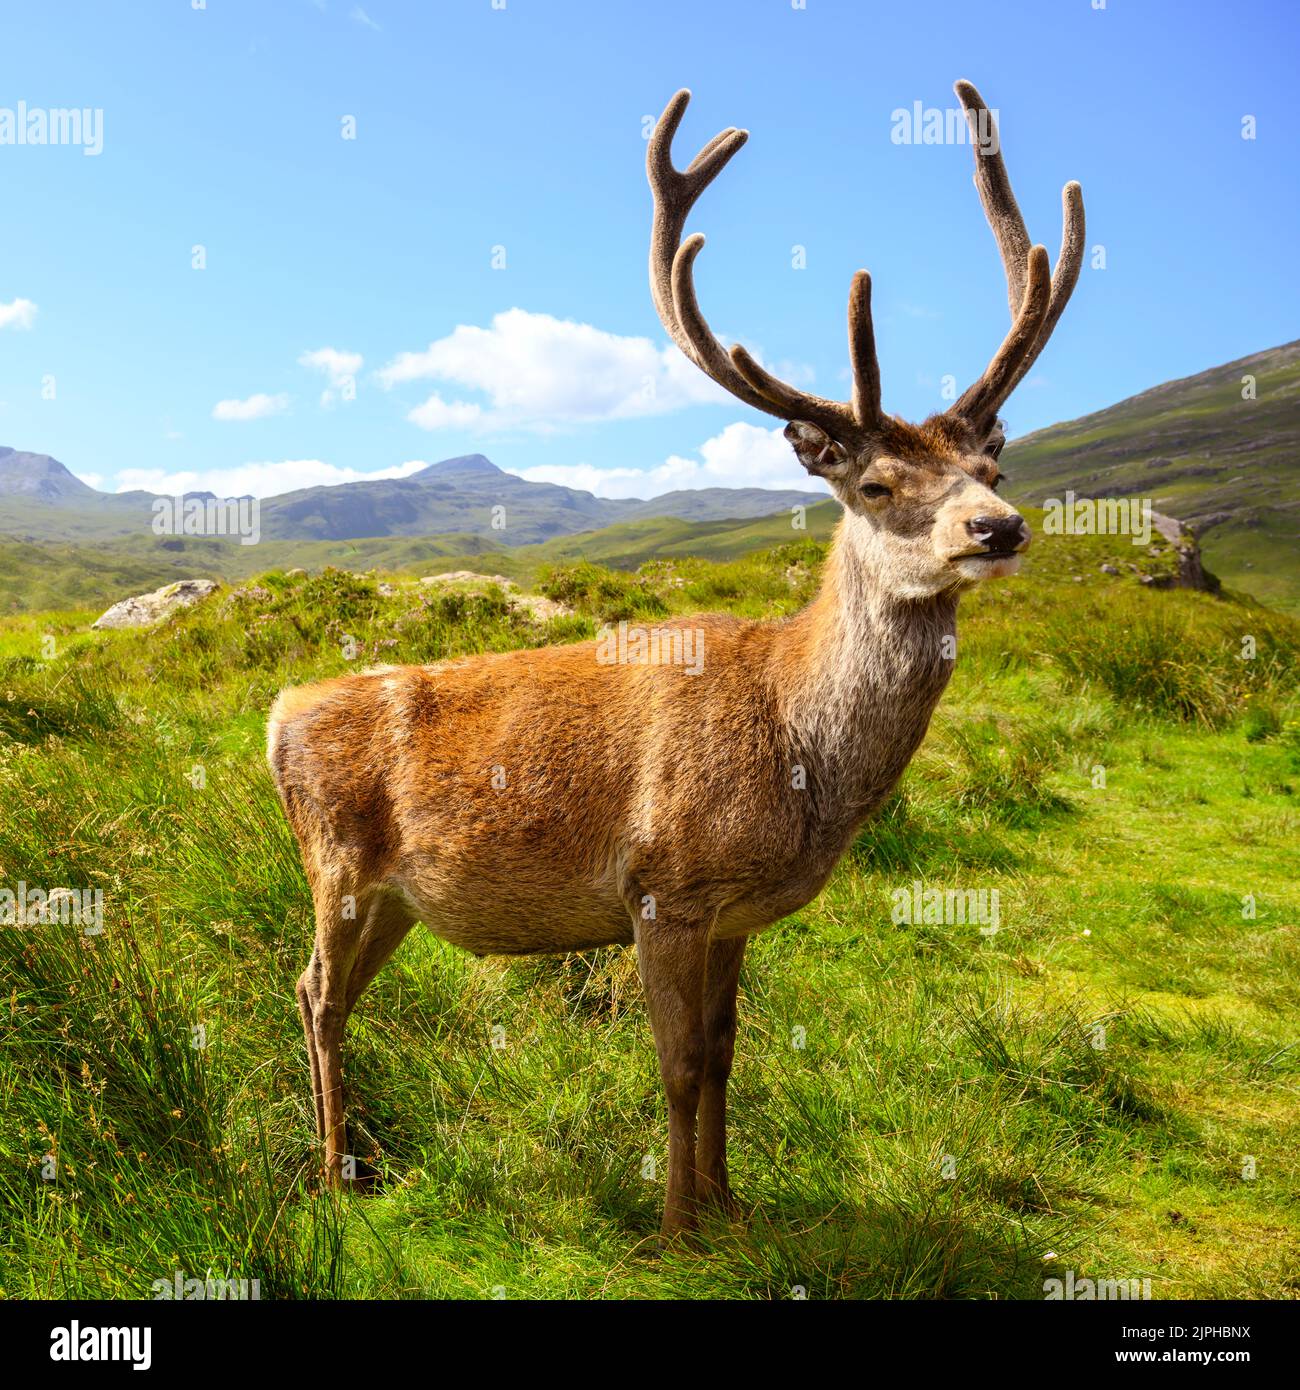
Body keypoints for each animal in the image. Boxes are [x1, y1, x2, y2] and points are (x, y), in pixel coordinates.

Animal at [269, 84, 1084, 1239]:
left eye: (992, 467)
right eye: (876, 485)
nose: (999, 527)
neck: (801, 754)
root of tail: (275, 715)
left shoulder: (736, 913)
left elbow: (729, 1056)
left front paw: (731, 1204)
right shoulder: (664, 886)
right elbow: (679, 1064)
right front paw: (676, 1230)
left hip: (391, 896)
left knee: (322, 993)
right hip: (334, 863)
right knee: (315, 994)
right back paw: (337, 1178)